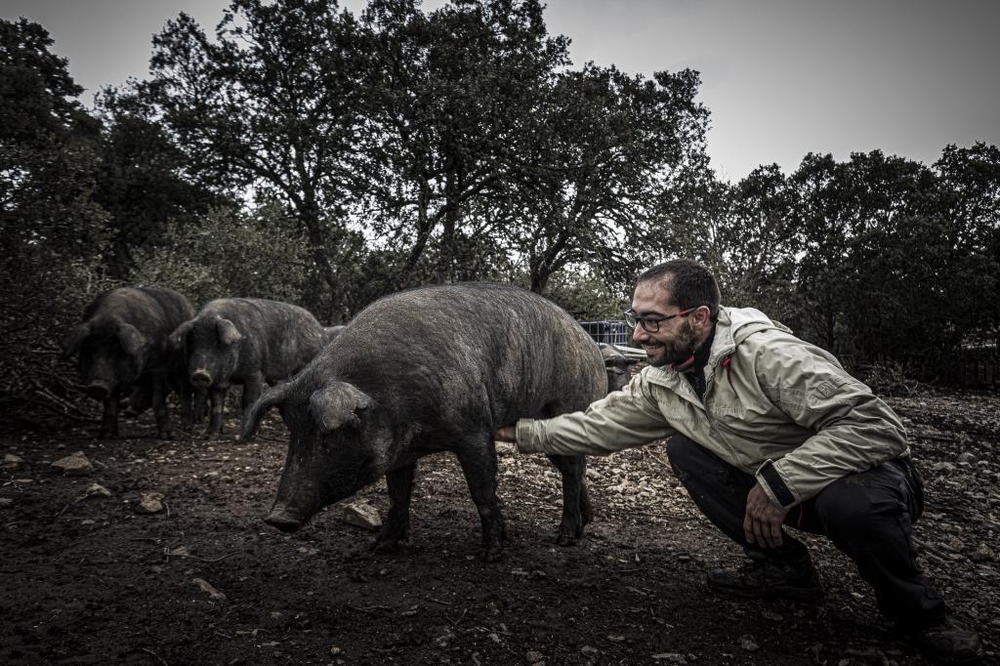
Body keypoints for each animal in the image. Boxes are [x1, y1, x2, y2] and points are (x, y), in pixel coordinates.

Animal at [59, 284, 201, 436]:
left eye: (117, 352)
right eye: (89, 350)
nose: (97, 386)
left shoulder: (158, 367)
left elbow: (158, 399)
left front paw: (167, 435)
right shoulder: (114, 380)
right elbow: (110, 403)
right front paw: (107, 435)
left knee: (185, 392)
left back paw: (188, 427)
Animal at [170, 296, 326, 436]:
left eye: (218, 344)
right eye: (192, 344)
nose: (200, 373)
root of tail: (320, 330)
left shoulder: (255, 372)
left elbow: (248, 401)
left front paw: (243, 435)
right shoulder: (217, 383)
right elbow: (217, 405)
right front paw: (210, 435)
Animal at [240, 280, 608, 560]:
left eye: (327, 435)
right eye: (294, 431)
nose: (278, 518)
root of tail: (591, 344)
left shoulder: (473, 429)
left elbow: (482, 490)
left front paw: (492, 554)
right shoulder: (400, 451)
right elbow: (398, 494)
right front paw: (380, 546)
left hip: (567, 407)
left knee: (572, 471)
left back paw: (563, 538)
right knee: (574, 470)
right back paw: (583, 525)